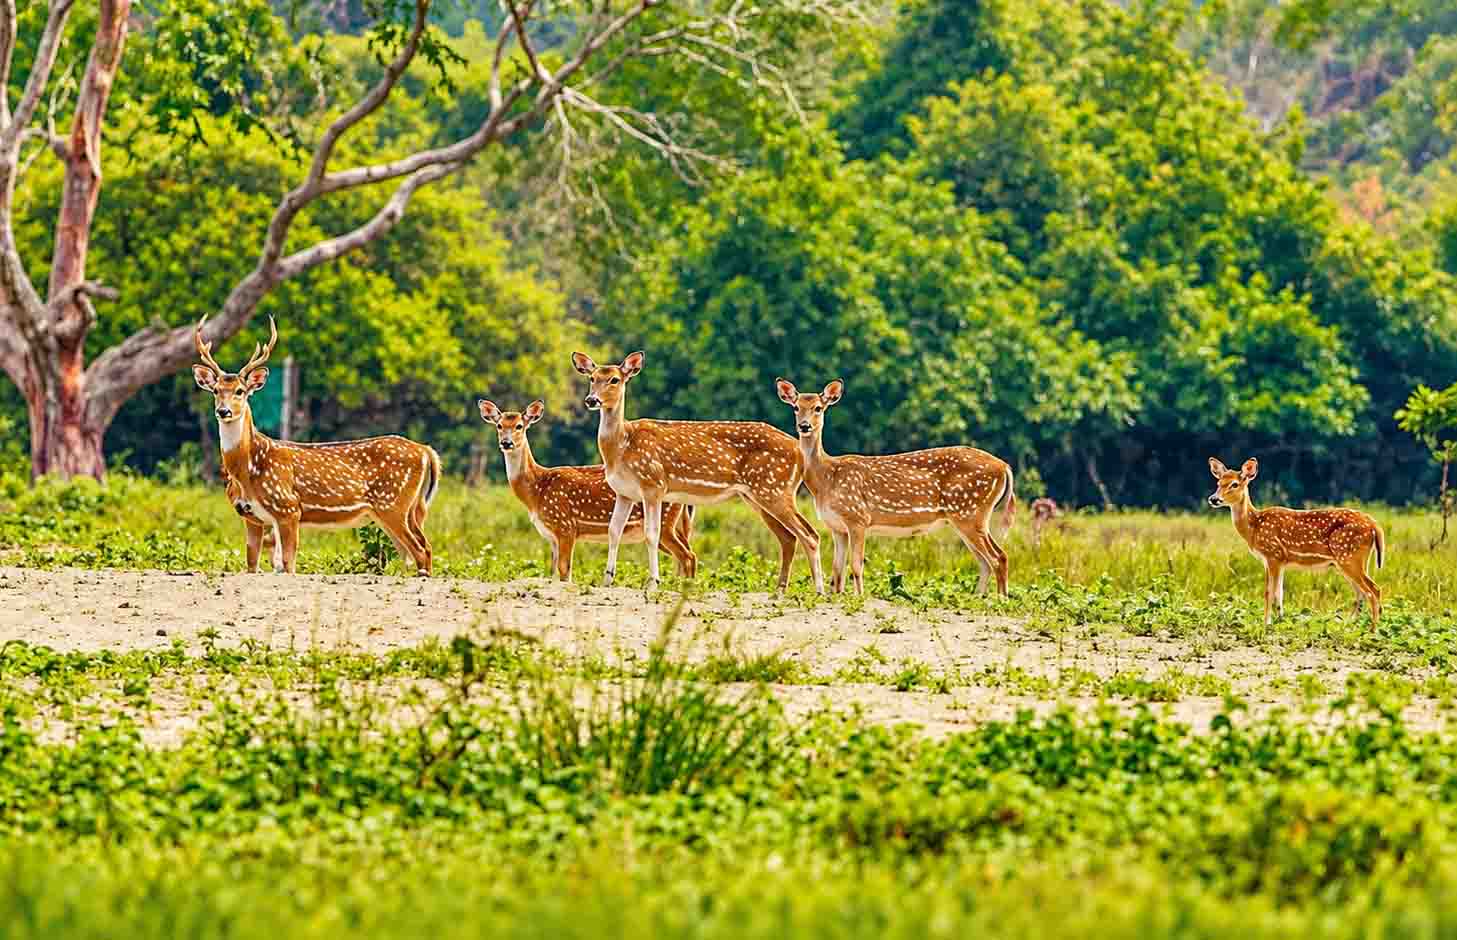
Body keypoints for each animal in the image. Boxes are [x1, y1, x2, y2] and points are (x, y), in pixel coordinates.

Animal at [193, 315, 441, 575]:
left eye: (240, 391)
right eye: (216, 390)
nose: (223, 411)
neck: (247, 471)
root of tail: (426, 451)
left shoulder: (289, 508)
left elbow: (288, 564)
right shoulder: (250, 516)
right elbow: (253, 565)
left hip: (393, 503)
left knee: (421, 550)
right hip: (409, 508)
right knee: (423, 546)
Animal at [478, 399, 698, 582]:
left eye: (519, 426)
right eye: (499, 425)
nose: (506, 443)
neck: (537, 489)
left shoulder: (565, 525)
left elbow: (565, 571)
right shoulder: (552, 536)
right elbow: (553, 573)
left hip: (665, 521)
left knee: (687, 556)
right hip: (675, 524)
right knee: (689, 553)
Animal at [572, 351, 824, 593]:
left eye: (615, 379)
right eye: (592, 378)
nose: (591, 400)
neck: (622, 446)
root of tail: (799, 451)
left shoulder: (653, 484)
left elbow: (651, 534)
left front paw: (653, 583)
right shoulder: (624, 492)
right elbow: (613, 531)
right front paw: (607, 580)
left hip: (774, 488)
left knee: (809, 534)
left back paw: (819, 591)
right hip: (758, 494)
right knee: (789, 537)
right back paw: (780, 590)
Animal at [776, 378, 1016, 596]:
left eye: (818, 407)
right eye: (796, 407)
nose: (804, 426)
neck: (826, 478)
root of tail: (1005, 466)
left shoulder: (858, 517)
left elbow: (856, 566)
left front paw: (860, 597)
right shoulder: (836, 526)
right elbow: (837, 570)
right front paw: (839, 596)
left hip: (970, 512)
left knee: (998, 557)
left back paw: (1000, 600)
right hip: (966, 517)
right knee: (985, 561)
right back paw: (980, 598)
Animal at [1207, 457, 1384, 626]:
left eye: (1234, 484)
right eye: (1218, 483)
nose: (1214, 499)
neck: (1254, 527)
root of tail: (1374, 525)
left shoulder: (1273, 554)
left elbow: (1268, 592)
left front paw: (1266, 623)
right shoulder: (1276, 560)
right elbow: (1279, 593)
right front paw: (1279, 620)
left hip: (1349, 555)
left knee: (1373, 590)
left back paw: (1373, 628)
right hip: (1349, 560)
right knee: (1360, 592)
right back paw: (1350, 624)